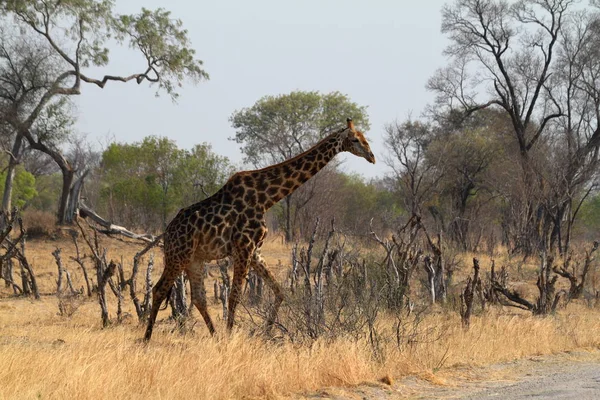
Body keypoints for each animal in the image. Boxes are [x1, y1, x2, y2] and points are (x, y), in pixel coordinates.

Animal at [144, 118, 376, 340]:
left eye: (365, 137)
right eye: (355, 139)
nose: (372, 157)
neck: (266, 199)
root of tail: (168, 232)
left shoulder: (255, 250)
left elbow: (279, 291)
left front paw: (266, 331)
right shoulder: (243, 247)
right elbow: (235, 295)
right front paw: (230, 337)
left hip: (195, 259)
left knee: (199, 298)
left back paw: (214, 336)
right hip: (179, 255)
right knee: (159, 289)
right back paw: (147, 338)